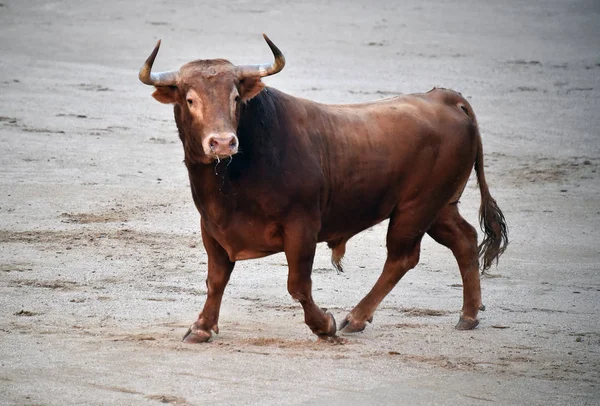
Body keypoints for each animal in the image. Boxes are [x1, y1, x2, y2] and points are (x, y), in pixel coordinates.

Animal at [139, 35, 506, 344]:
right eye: (190, 99)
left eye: (235, 98)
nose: (223, 142)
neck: (233, 177)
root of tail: (444, 98)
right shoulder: (211, 226)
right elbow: (216, 279)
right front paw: (201, 327)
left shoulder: (302, 225)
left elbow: (298, 284)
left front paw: (323, 325)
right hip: (439, 206)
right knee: (464, 238)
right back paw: (468, 315)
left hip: (416, 207)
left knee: (402, 257)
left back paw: (355, 318)